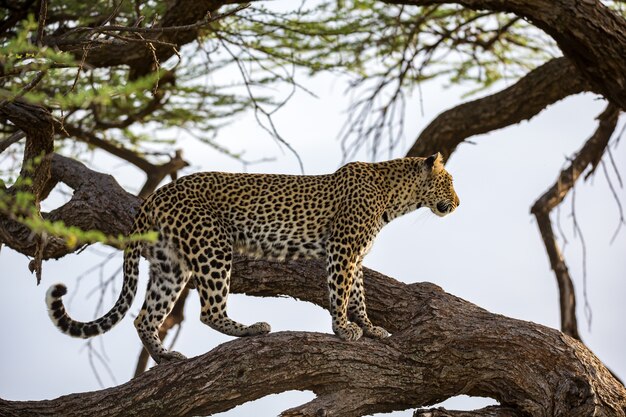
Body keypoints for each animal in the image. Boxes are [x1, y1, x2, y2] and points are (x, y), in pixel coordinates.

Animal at [45, 153, 454, 364]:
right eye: (449, 182)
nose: (458, 202)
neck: (395, 197)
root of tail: (156, 196)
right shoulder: (342, 248)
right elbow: (340, 292)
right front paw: (344, 329)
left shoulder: (354, 254)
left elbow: (357, 294)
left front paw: (369, 328)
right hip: (211, 246)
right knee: (209, 311)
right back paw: (251, 329)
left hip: (170, 263)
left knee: (145, 316)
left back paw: (164, 357)